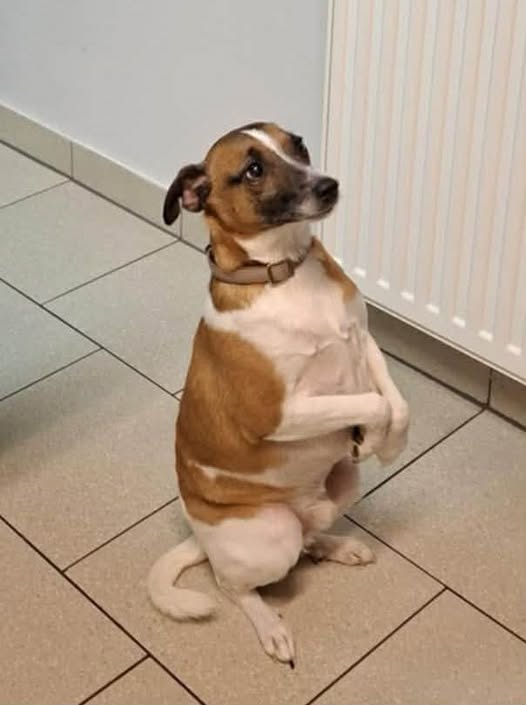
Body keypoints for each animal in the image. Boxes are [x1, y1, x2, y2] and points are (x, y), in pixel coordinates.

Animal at [147, 122, 409, 667]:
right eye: (253, 169)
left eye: (299, 145)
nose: (329, 185)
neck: (286, 272)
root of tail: (202, 539)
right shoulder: (279, 414)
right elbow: (371, 402)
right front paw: (372, 435)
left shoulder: (364, 340)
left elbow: (396, 401)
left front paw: (389, 442)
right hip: (271, 536)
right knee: (234, 584)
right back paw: (270, 626)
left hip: (342, 485)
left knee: (310, 537)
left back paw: (338, 546)